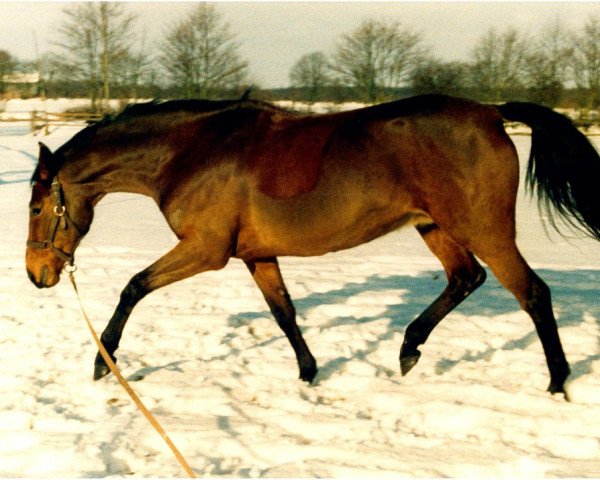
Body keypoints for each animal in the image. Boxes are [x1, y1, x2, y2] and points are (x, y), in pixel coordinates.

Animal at [27, 94, 600, 398]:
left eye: (35, 208)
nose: (37, 274)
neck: (191, 151)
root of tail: (491, 112)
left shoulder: (207, 251)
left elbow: (133, 287)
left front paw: (103, 362)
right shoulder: (255, 255)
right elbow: (284, 313)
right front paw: (308, 373)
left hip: (485, 229)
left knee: (532, 293)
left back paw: (557, 382)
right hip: (434, 226)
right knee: (466, 278)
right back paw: (409, 349)